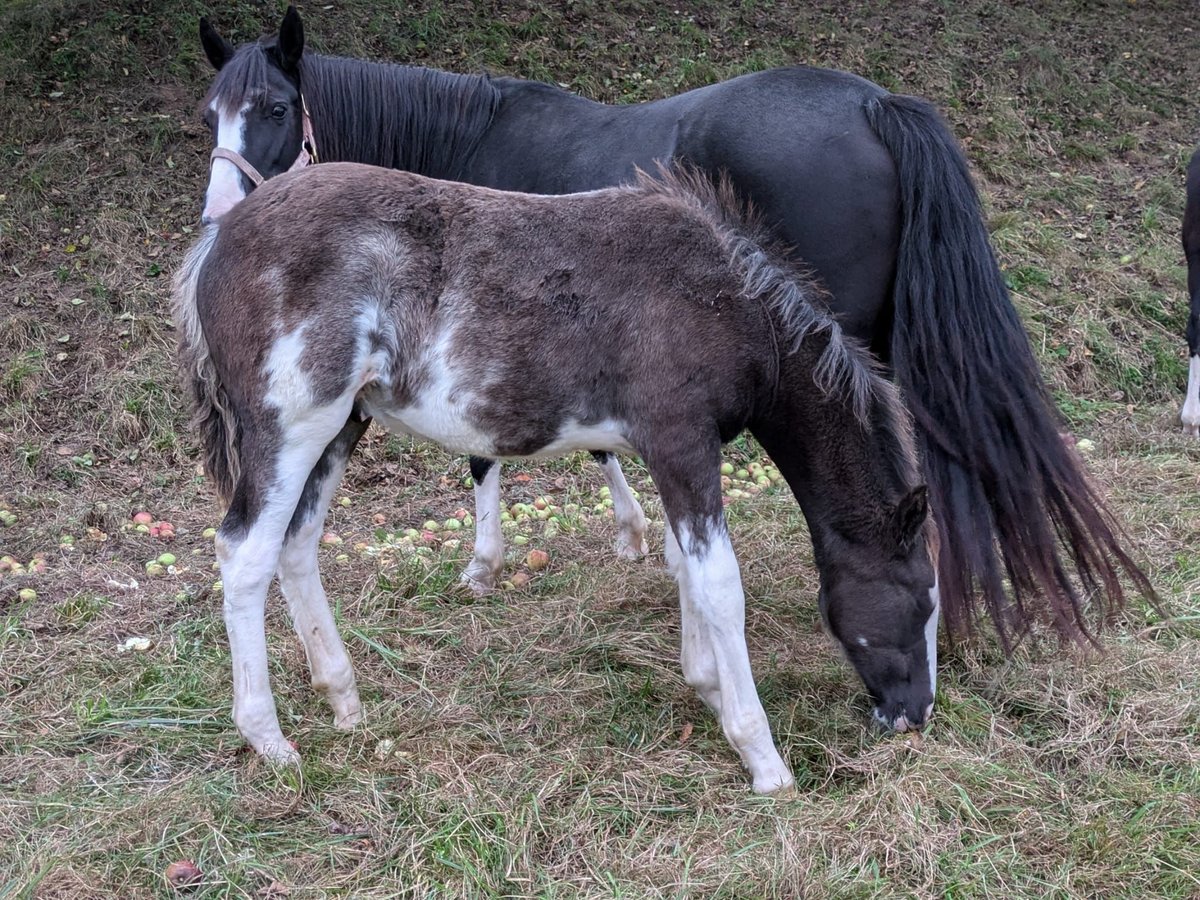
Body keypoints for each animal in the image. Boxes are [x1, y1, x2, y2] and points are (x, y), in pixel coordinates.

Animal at [171, 164, 936, 796]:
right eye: (922, 599)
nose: (915, 716)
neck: (730, 302)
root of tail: (219, 239)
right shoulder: (682, 443)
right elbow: (718, 583)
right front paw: (762, 757)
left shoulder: (671, 455)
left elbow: (681, 566)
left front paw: (707, 686)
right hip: (293, 427)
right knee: (245, 554)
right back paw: (269, 739)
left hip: (340, 428)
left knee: (297, 546)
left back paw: (343, 699)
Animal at [192, 8, 1156, 657]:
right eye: (210, 114)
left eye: (274, 107)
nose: (219, 219)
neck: (465, 141)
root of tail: (878, 103)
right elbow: (598, 444)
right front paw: (637, 538)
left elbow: (487, 459)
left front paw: (486, 563)